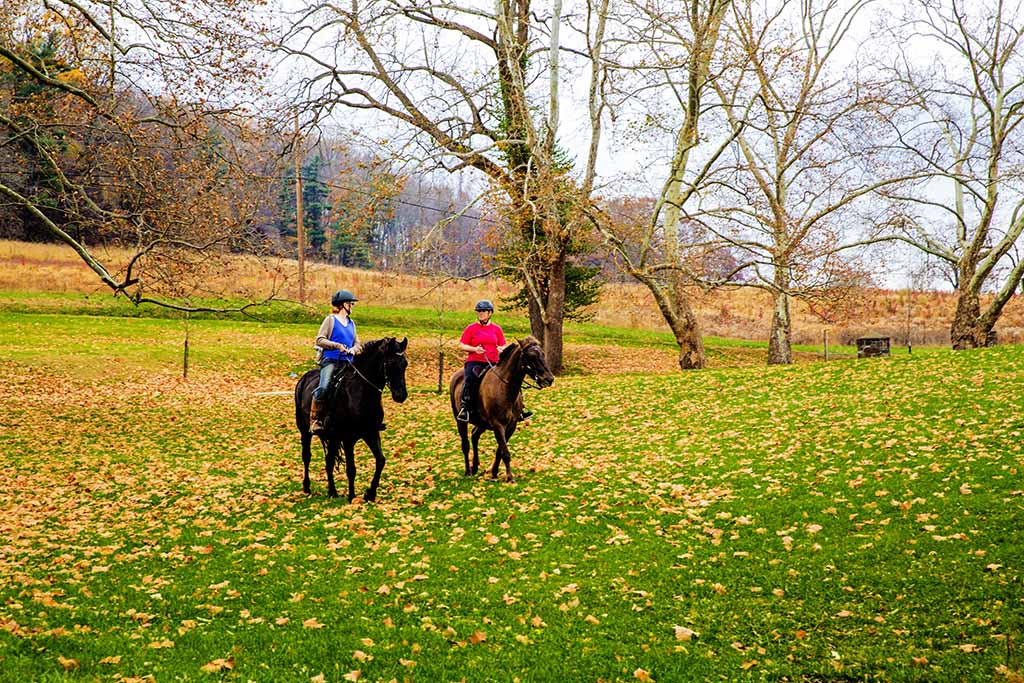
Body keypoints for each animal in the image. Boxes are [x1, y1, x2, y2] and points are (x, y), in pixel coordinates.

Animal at [292, 337, 407, 501]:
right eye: (390, 363)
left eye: (405, 364)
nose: (401, 395)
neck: (360, 393)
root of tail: (303, 379)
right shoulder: (348, 439)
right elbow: (351, 469)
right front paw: (352, 497)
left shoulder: (371, 433)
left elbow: (380, 460)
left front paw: (370, 494)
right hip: (305, 431)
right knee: (307, 457)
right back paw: (307, 487)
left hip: (332, 437)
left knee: (329, 461)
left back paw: (332, 491)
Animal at [450, 335, 557, 481]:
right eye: (531, 356)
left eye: (542, 354)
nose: (549, 379)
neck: (504, 388)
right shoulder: (498, 425)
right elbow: (505, 452)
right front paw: (510, 477)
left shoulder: (511, 426)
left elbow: (500, 450)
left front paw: (494, 472)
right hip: (461, 421)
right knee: (465, 444)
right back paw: (468, 471)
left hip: (482, 423)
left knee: (474, 435)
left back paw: (475, 466)